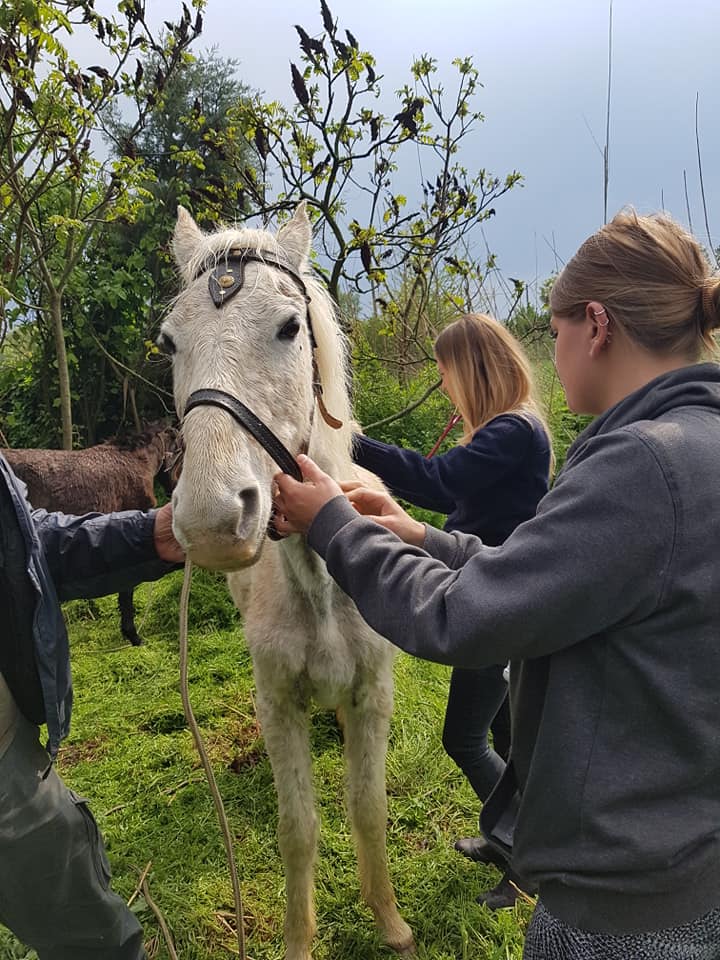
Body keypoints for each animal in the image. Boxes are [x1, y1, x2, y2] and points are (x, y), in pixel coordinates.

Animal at [162, 203, 415, 960]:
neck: (324, 584)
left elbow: (368, 808)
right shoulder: (279, 705)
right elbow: (297, 830)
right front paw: (300, 939)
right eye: (168, 342)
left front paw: (391, 923)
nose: (213, 518)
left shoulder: (374, 694)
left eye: (288, 328)